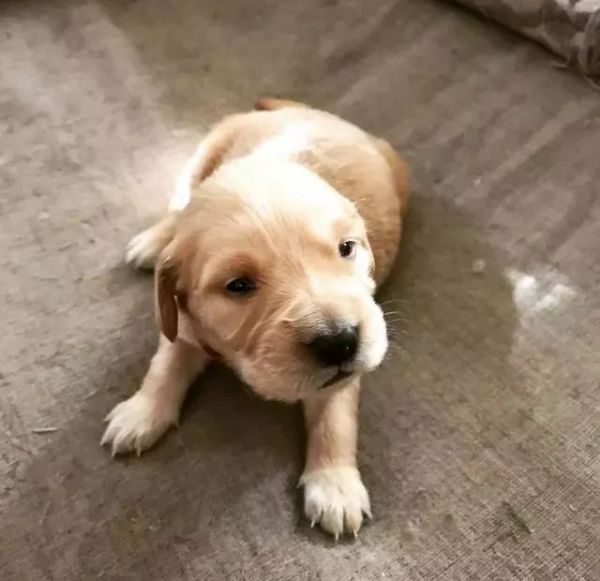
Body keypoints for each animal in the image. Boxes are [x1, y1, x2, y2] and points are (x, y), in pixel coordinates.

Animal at [101, 98, 409, 538]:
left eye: (347, 248)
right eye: (239, 285)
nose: (340, 342)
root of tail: (307, 110)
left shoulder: (346, 370)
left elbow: (335, 417)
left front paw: (334, 484)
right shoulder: (182, 324)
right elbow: (165, 366)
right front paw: (142, 411)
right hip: (203, 155)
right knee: (179, 209)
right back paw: (154, 242)